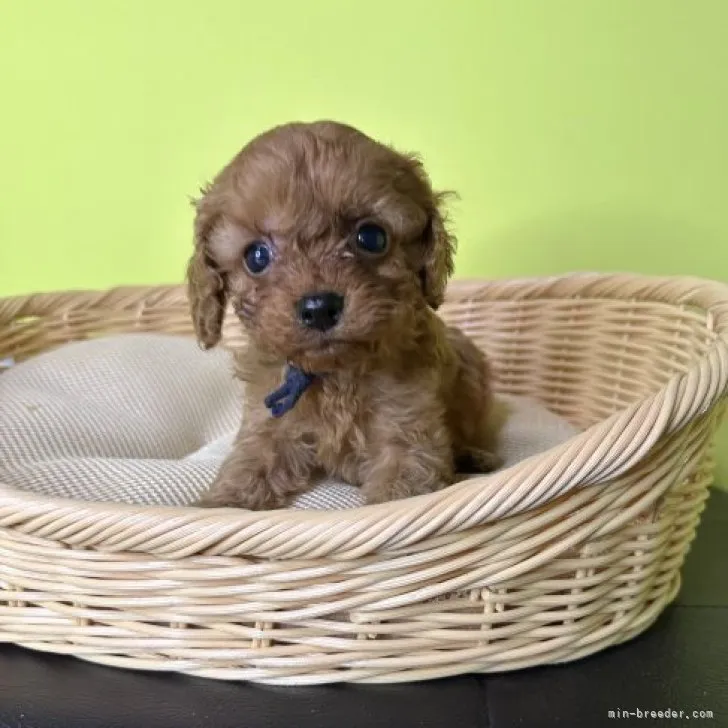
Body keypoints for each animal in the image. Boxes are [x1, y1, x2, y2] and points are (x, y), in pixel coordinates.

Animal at [188, 119, 500, 510]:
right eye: (256, 256)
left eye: (371, 237)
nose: (319, 308)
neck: (336, 374)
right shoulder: (268, 422)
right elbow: (249, 463)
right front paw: (222, 503)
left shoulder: (408, 430)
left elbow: (401, 494)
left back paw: (475, 455)